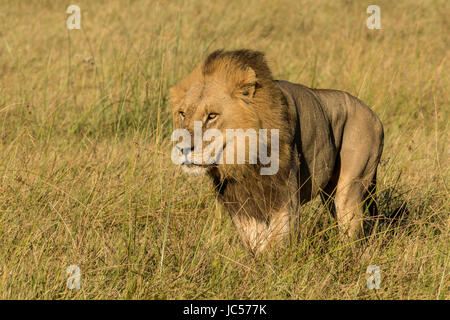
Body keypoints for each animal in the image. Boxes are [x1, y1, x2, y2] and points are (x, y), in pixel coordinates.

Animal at [169, 49, 384, 255]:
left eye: (212, 116)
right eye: (182, 113)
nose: (182, 148)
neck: (245, 160)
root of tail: (374, 115)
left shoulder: (285, 194)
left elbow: (278, 240)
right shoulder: (240, 200)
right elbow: (254, 239)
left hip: (350, 188)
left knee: (352, 233)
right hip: (329, 194)